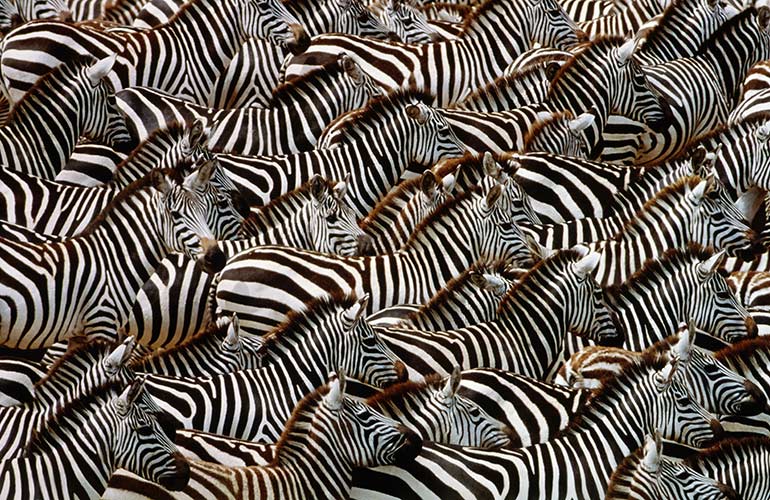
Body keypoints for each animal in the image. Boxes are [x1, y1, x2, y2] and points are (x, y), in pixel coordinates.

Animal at [0, 165, 228, 349]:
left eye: (205, 211)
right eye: (175, 215)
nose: (217, 258)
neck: (113, 260)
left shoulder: (80, 334)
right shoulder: (102, 323)